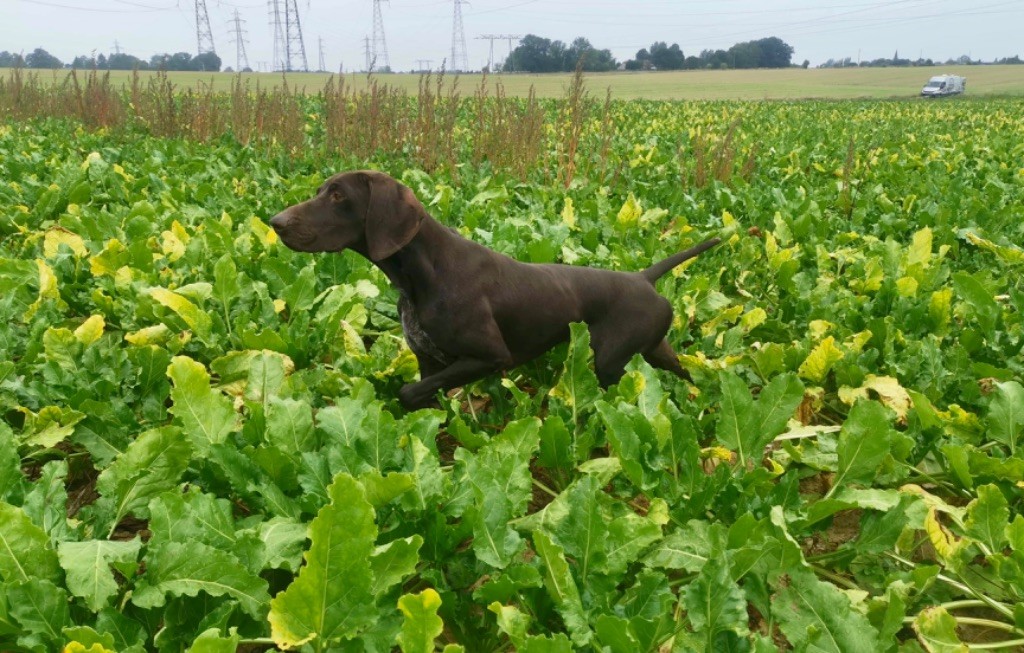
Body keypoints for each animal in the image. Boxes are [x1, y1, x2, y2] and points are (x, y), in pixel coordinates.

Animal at [272, 172, 720, 409]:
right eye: (320, 191)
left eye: (337, 195)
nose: (275, 222)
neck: (423, 275)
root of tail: (643, 277)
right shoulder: (428, 360)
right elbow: (422, 397)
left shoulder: (490, 357)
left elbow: (407, 390)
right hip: (656, 350)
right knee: (687, 374)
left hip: (609, 363)